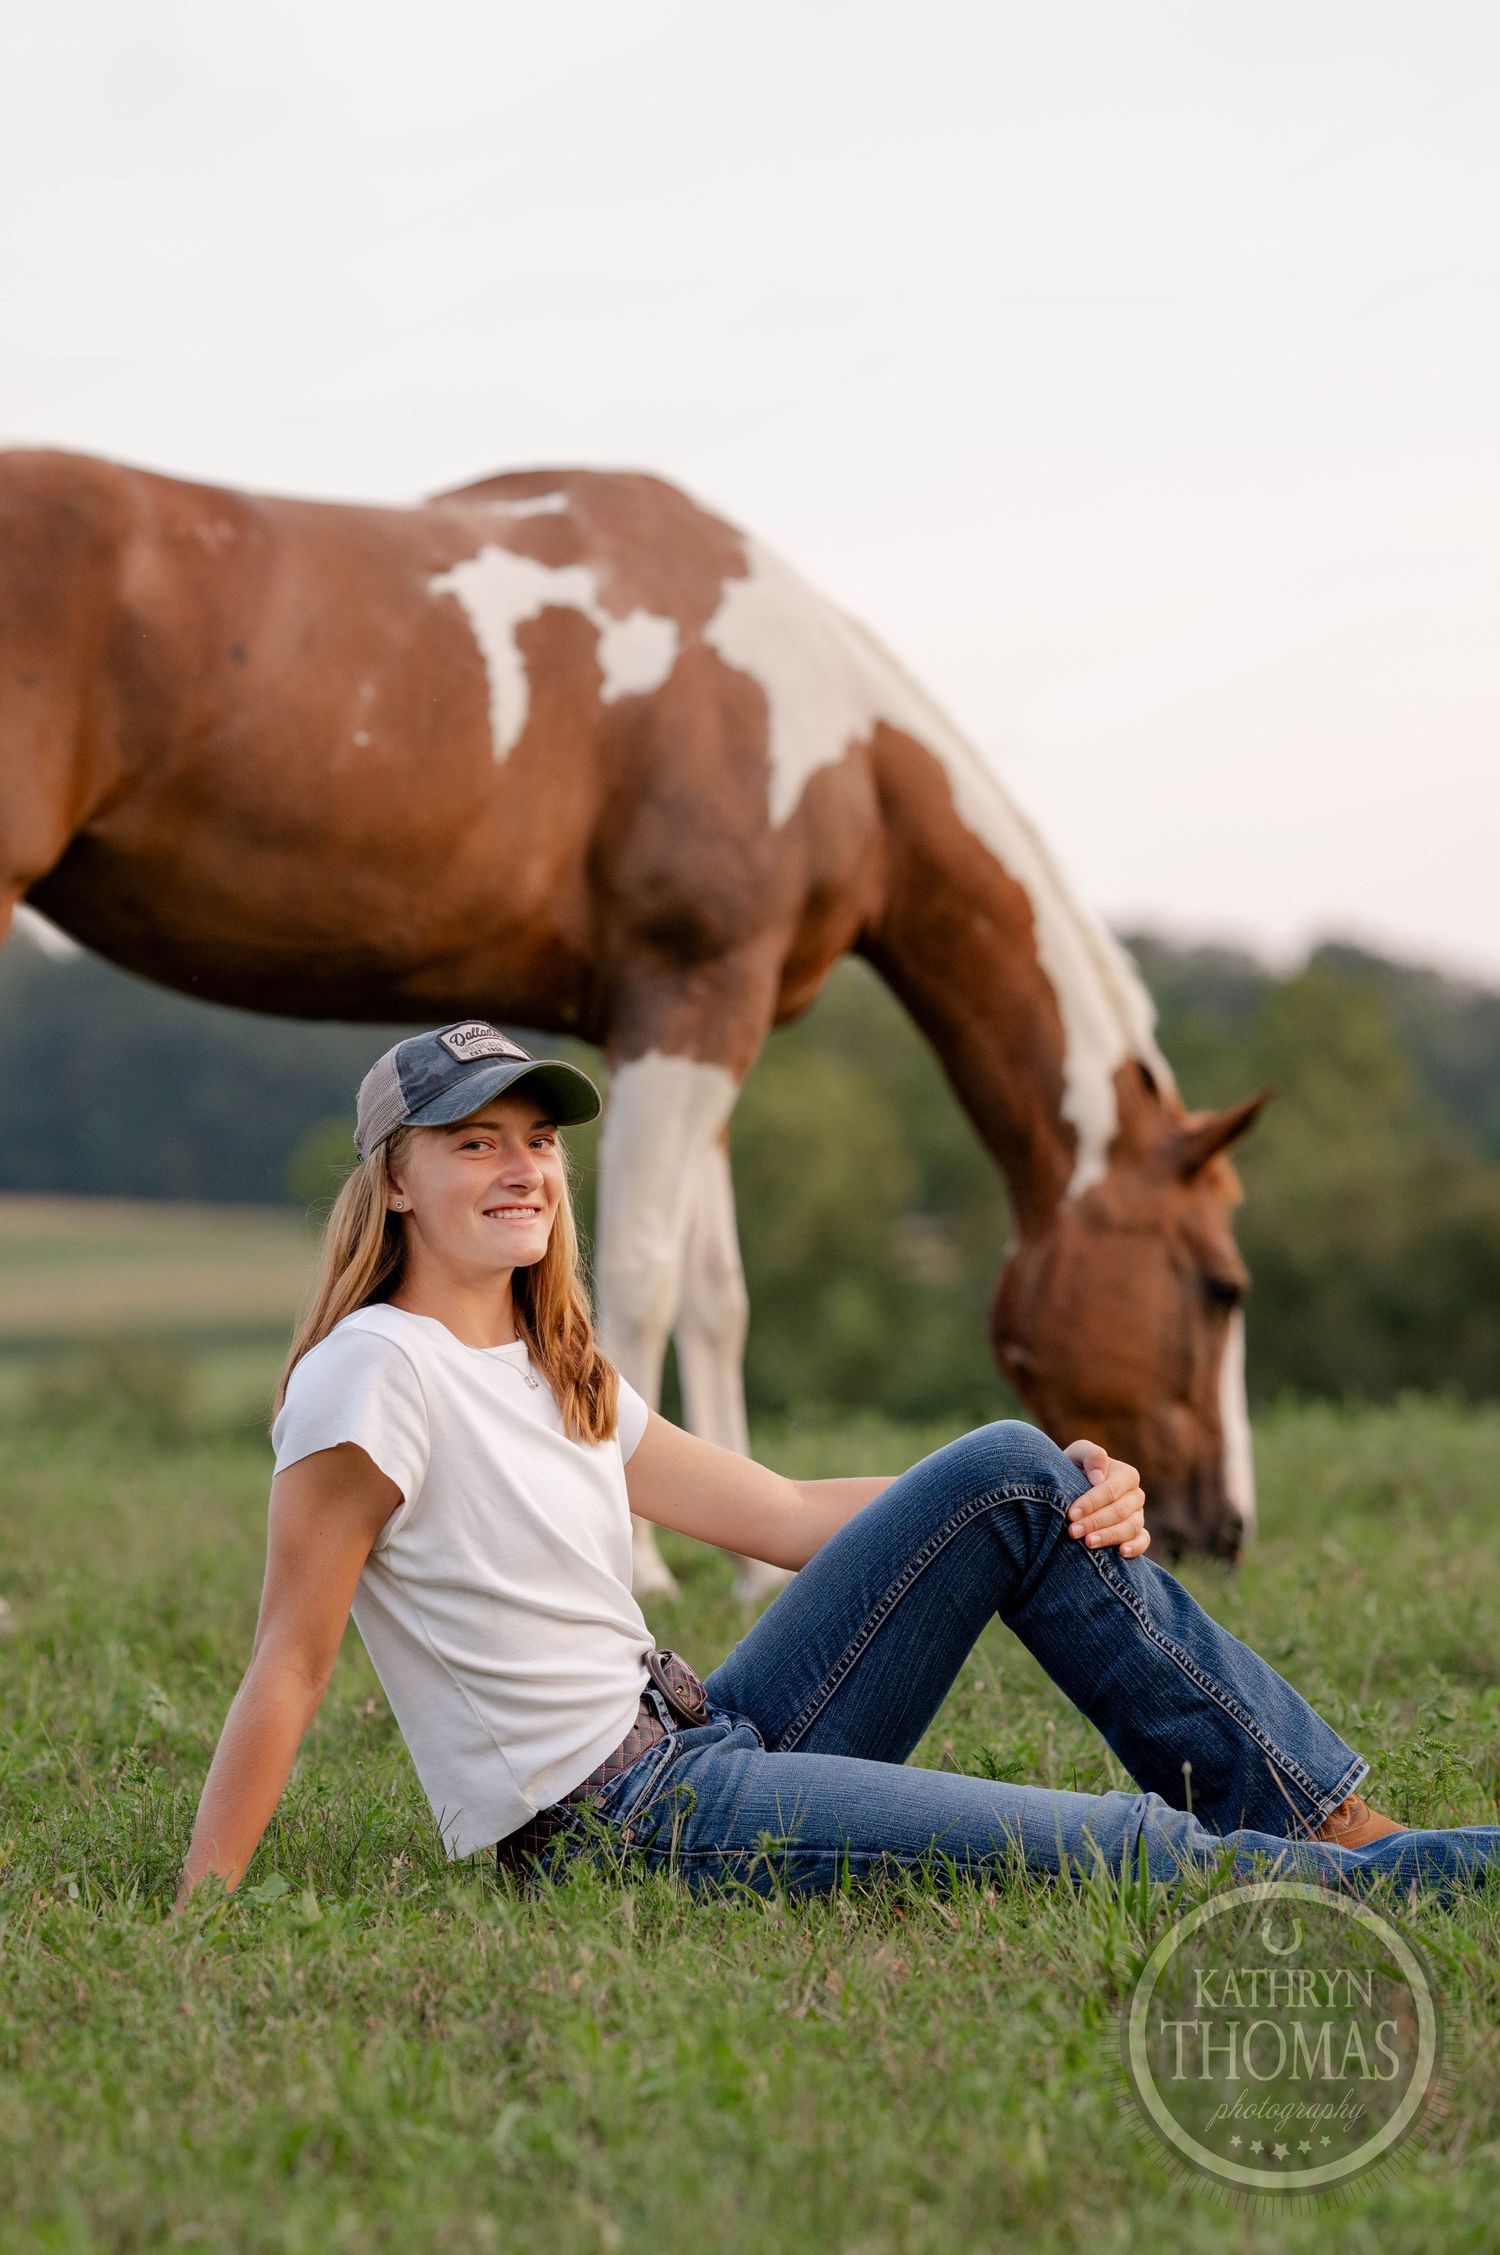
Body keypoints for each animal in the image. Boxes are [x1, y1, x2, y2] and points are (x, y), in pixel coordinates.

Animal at [0, 445, 1267, 1603]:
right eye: (1221, 1287)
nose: (1228, 1528)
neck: (823, 727)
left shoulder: (699, 1018)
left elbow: (717, 1293)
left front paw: (749, 1564)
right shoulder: (688, 999)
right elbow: (645, 1276)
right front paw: (648, 1557)